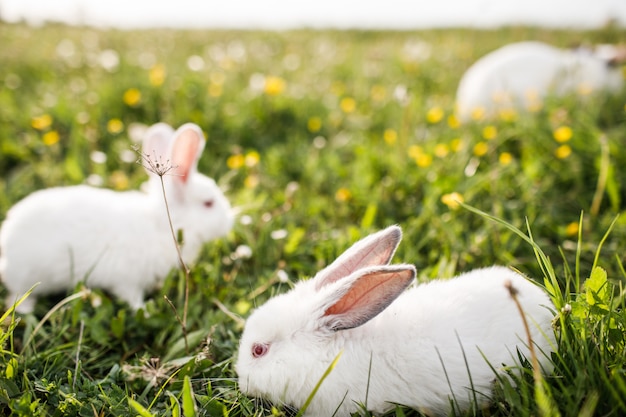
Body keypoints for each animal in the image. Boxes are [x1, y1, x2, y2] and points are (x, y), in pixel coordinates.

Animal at [0, 121, 234, 312]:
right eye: (209, 203)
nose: (230, 222)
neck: (162, 225)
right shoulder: (127, 280)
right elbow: (132, 298)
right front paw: (145, 311)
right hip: (25, 277)